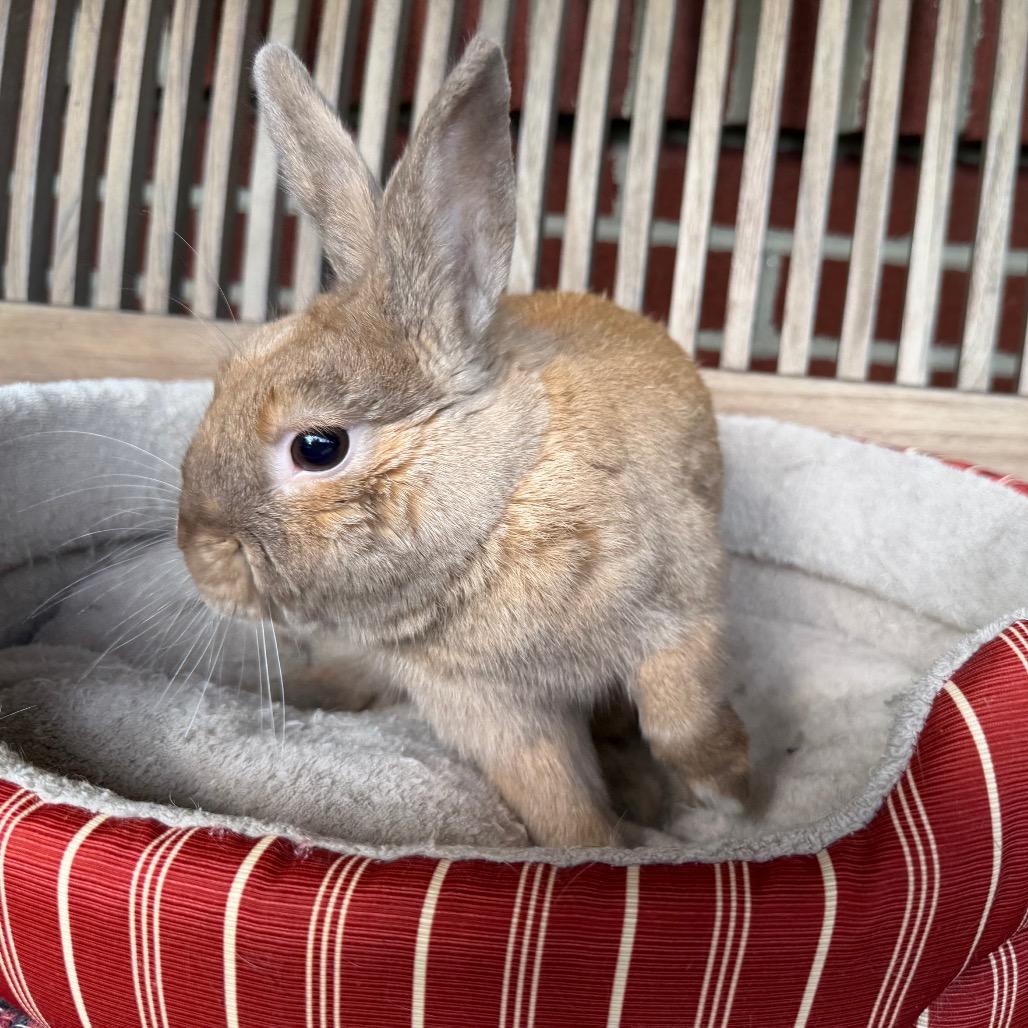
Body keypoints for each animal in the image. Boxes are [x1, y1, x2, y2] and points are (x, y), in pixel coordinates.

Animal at [176, 36, 749, 848]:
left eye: (317, 447)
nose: (198, 553)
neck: (500, 504)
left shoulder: (682, 619)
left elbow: (684, 724)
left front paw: (730, 801)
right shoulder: (492, 713)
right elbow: (558, 801)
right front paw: (603, 856)